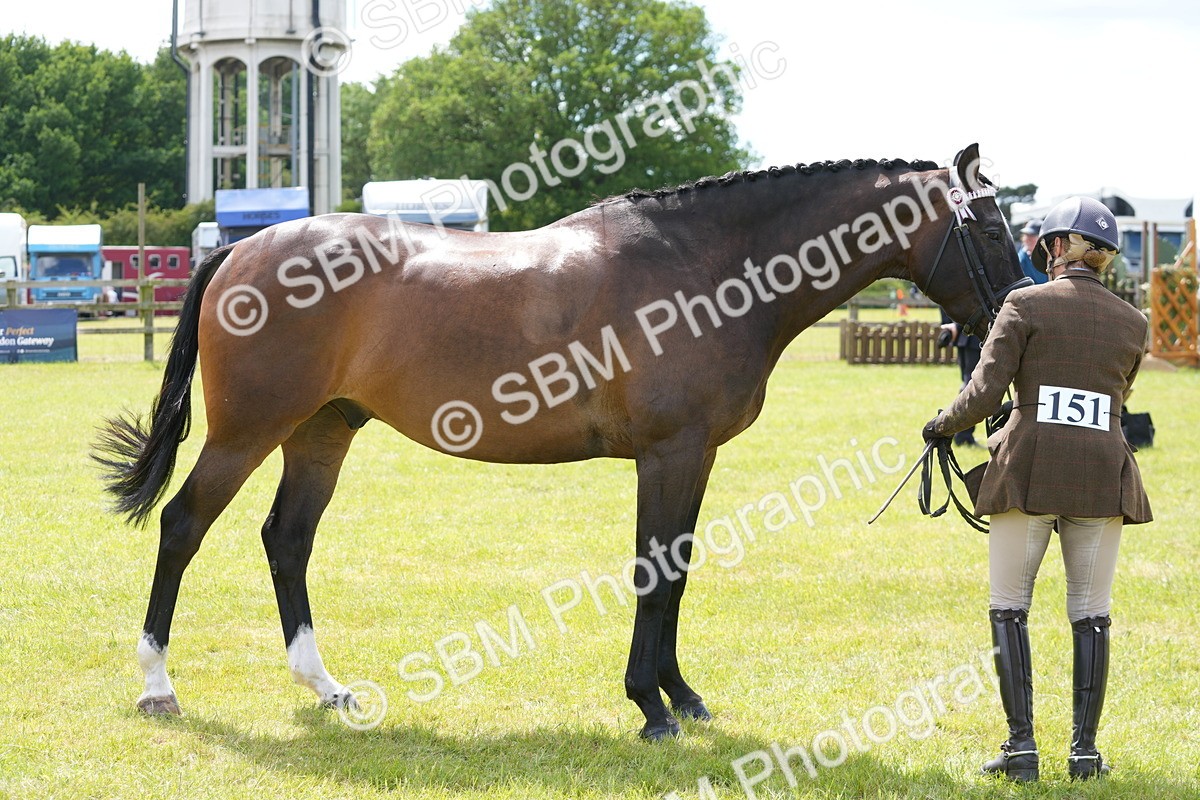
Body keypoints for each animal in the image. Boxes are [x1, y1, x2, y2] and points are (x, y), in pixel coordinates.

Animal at [95, 143, 1030, 740]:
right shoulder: (669, 453)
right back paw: (158, 687)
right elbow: (655, 572)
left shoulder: (695, 457)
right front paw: (650, 708)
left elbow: (676, 572)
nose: (1020, 306)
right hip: (249, 431)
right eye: (989, 229)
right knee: (182, 527)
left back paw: (326, 688)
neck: (706, 267)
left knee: (286, 540)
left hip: (323, 432)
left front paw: (681, 698)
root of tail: (242, 249)